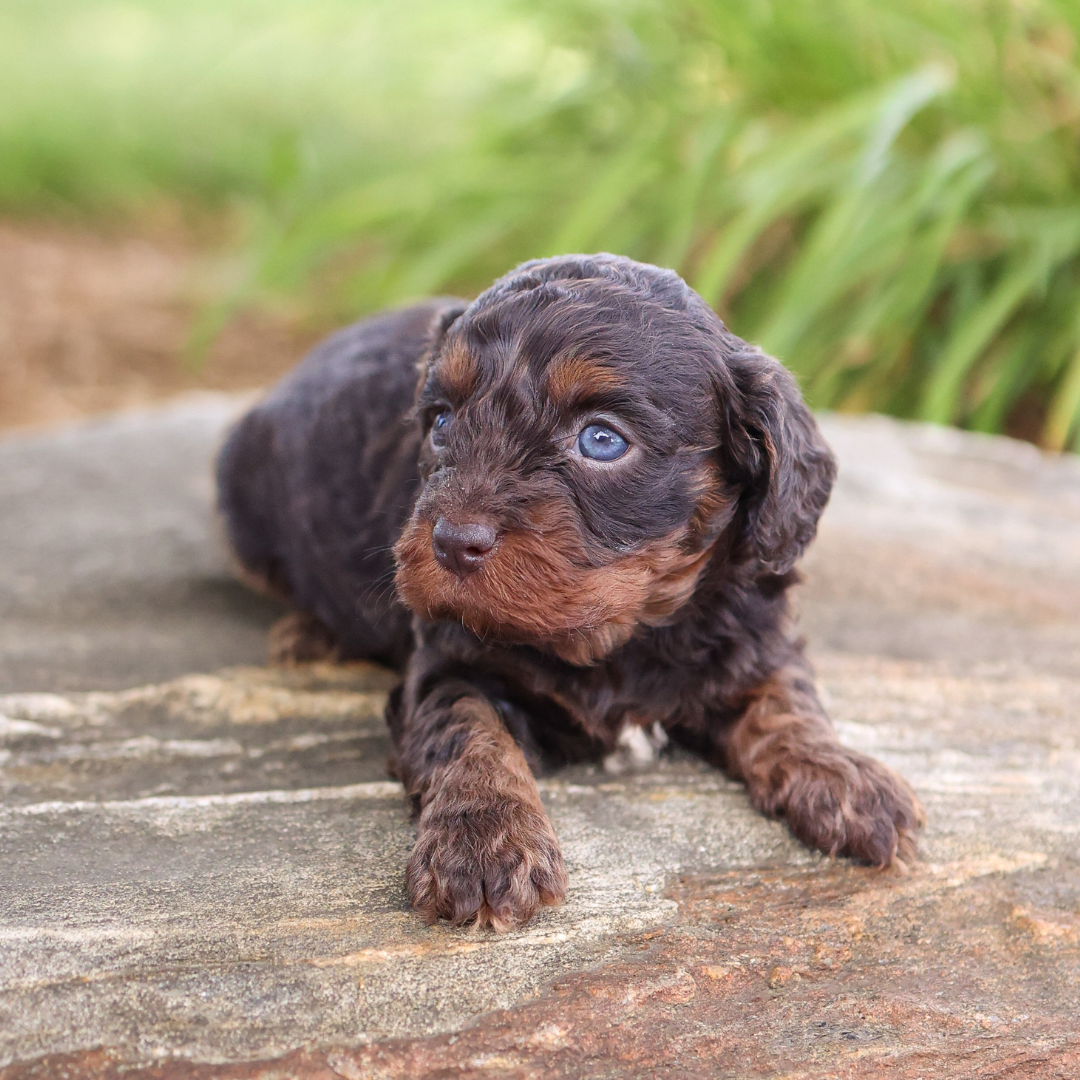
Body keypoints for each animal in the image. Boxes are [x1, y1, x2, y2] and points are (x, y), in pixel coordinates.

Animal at [217, 250, 920, 928]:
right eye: (440, 422)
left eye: (601, 440)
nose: (451, 541)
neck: (617, 636)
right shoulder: (448, 662)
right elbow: (468, 730)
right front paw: (483, 840)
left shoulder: (754, 629)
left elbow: (786, 700)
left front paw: (844, 778)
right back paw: (310, 633)